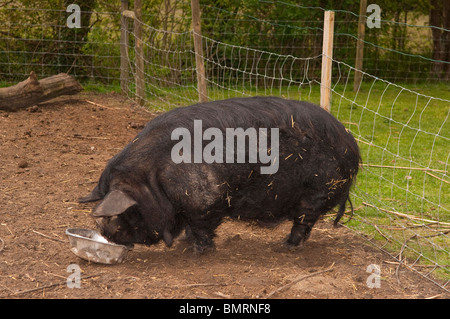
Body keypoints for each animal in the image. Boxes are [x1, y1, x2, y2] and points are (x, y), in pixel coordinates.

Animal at [80, 97, 362, 255]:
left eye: (125, 212)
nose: (104, 232)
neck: (154, 178)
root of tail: (351, 146)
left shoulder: (205, 201)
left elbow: (202, 227)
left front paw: (196, 252)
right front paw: (185, 242)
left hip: (316, 192)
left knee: (304, 222)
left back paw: (287, 246)